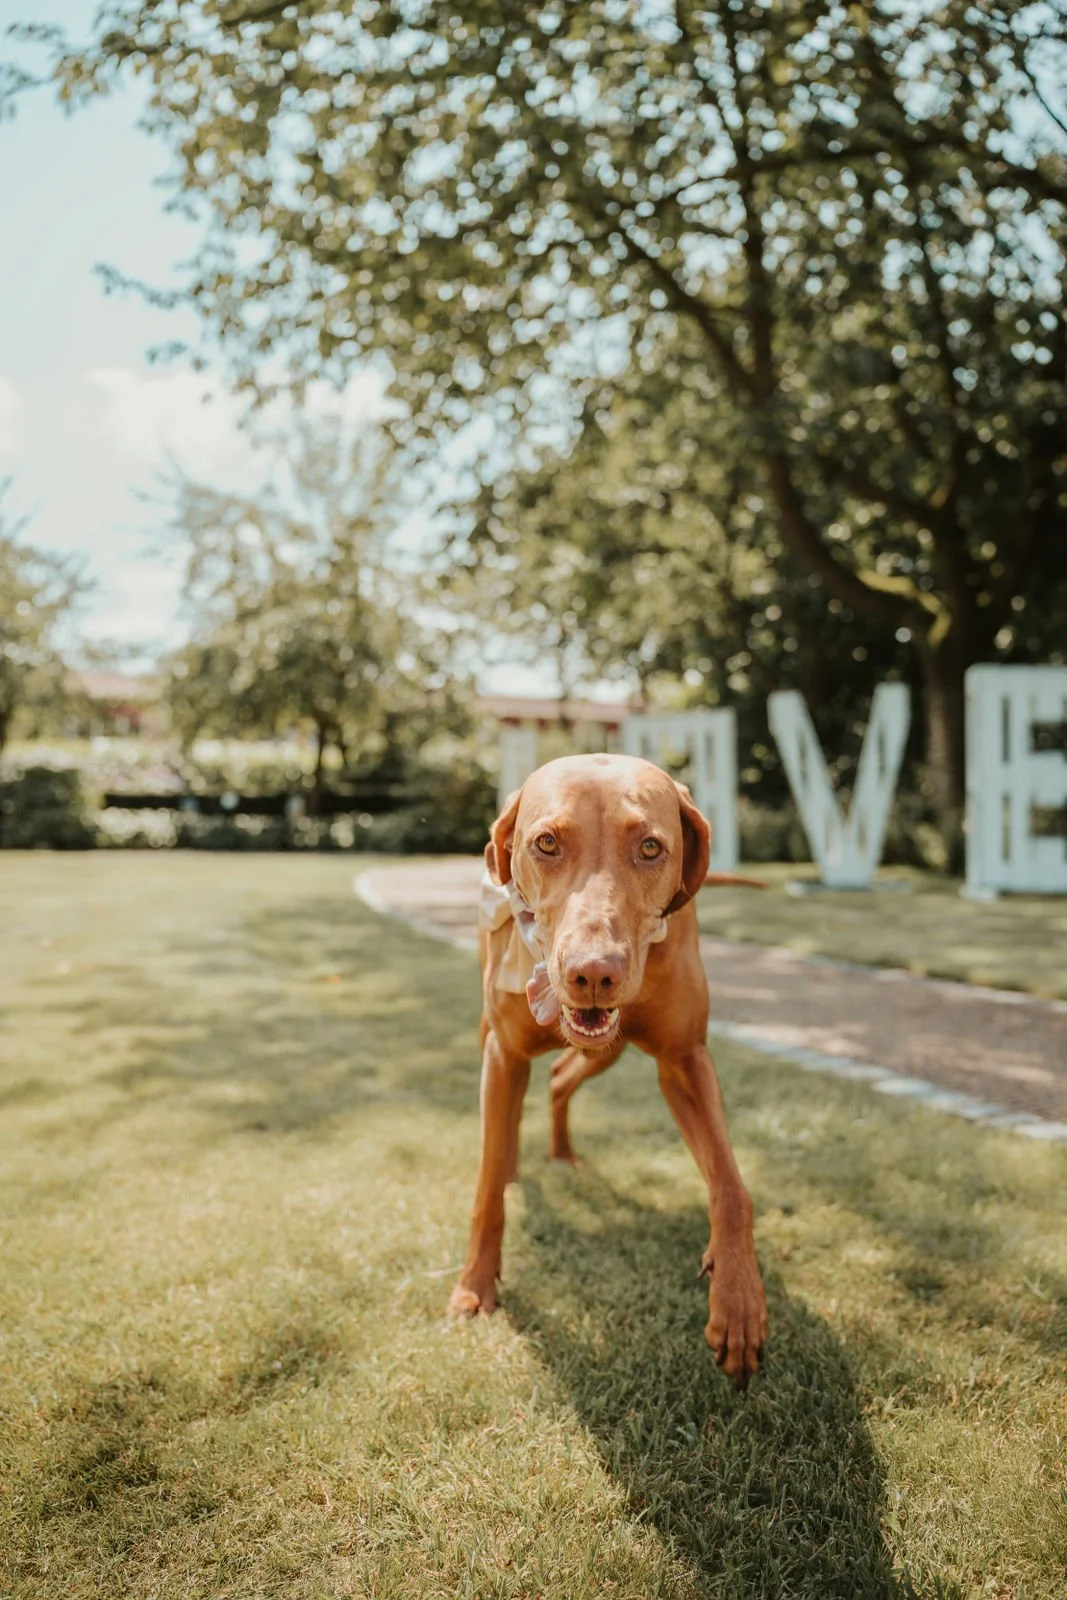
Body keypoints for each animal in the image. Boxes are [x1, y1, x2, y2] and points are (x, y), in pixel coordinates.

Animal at [448, 753, 768, 1388]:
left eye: (650, 847)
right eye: (547, 843)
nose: (593, 973)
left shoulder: (685, 1061)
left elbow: (729, 1186)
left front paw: (738, 1299)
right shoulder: (503, 1055)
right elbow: (486, 1188)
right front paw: (474, 1285)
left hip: (608, 1049)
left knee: (559, 1079)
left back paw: (564, 1152)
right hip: (496, 1038)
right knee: (509, 1123)